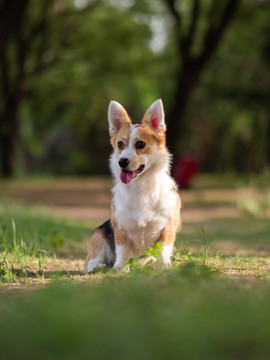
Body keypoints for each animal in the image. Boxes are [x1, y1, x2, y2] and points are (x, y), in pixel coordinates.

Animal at [84, 98, 181, 272]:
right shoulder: (120, 229)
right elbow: (122, 251)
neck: (141, 186)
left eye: (140, 144)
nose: (122, 162)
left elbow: (163, 249)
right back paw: (99, 267)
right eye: (120, 145)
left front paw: (163, 266)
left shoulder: (167, 227)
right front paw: (119, 269)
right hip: (98, 237)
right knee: (90, 262)